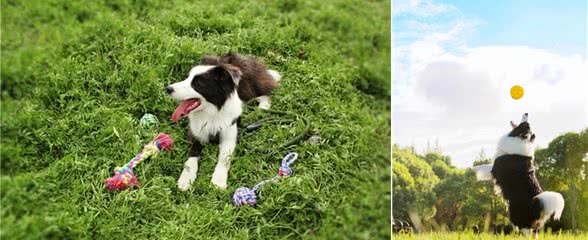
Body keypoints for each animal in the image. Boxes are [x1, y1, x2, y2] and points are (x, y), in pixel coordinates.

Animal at [165, 53, 280, 190]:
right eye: (187, 78)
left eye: (198, 83)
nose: (168, 89)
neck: (212, 113)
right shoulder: (196, 134)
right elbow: (191, 157)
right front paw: (186, 178)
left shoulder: (230, 135)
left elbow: (224, 158)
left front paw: (218, 181)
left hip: (251, 86)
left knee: (266, 92)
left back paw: (263, 106)